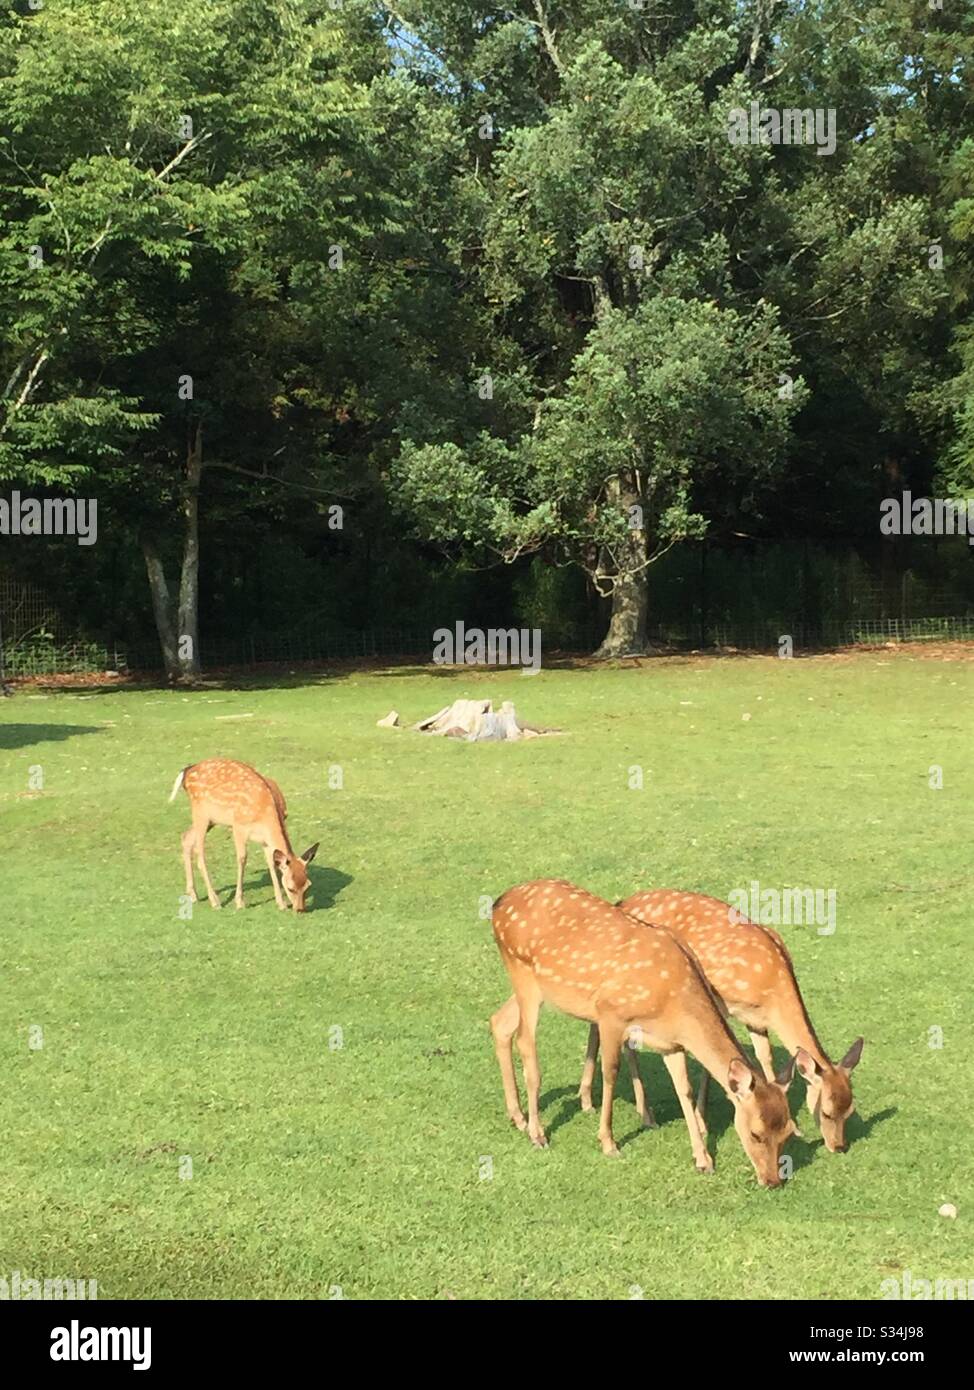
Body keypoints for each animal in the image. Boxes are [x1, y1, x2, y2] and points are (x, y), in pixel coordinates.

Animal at [168, 761, 319, 911]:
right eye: (291, 888)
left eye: (308, 885)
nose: (300, 909)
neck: (266, 812)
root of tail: (187, 771)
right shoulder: (238, 827)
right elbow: (242, 859)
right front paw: (240, 902)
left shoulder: (265, 840)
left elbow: (271, 862)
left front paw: (281, 903)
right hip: (201, 812)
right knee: (200, 855)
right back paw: (215, 901)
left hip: (212, 819)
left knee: (186, 837)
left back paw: (193, 895)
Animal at [486, 878, 800, 1184]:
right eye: (756, 1134)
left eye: (787, 1130)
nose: (773, 1180)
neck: (674, 999)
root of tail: (498, 904)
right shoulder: (610, 1013)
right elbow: (611, 1072)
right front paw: (608, 1142)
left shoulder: (671, 1043)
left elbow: (683, 1089)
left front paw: (703, 1160)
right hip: (523, 974)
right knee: (525, 1043)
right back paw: (537, 1133)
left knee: (499, 1022)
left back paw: (518, 1117)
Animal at [589, 889, 861, 1150]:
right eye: (826, 1112)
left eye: (849, 1110)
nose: (839, 1146)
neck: (772, 984)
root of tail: (623, 902)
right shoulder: (722, 1002)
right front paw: (702, 1122)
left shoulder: (756, 1019)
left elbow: (765, 1056)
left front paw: (791, 1123)